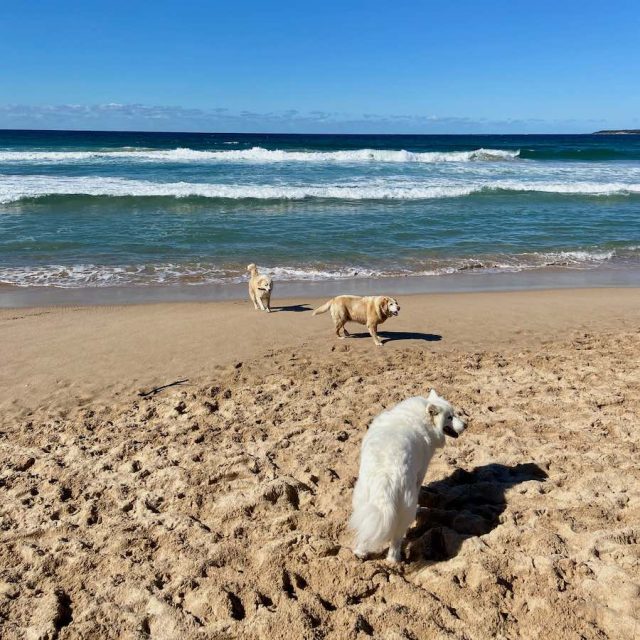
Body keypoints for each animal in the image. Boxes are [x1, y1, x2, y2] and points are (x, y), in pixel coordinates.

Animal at [350, 388, 464, 564]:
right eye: (450, 417)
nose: (466, 425)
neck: (423, 417)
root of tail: (385, 474)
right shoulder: (421, 472)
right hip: (405, 508)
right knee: (396, 538)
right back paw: (394, 560)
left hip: (364, 501)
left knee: (366, 528)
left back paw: (360, 552)